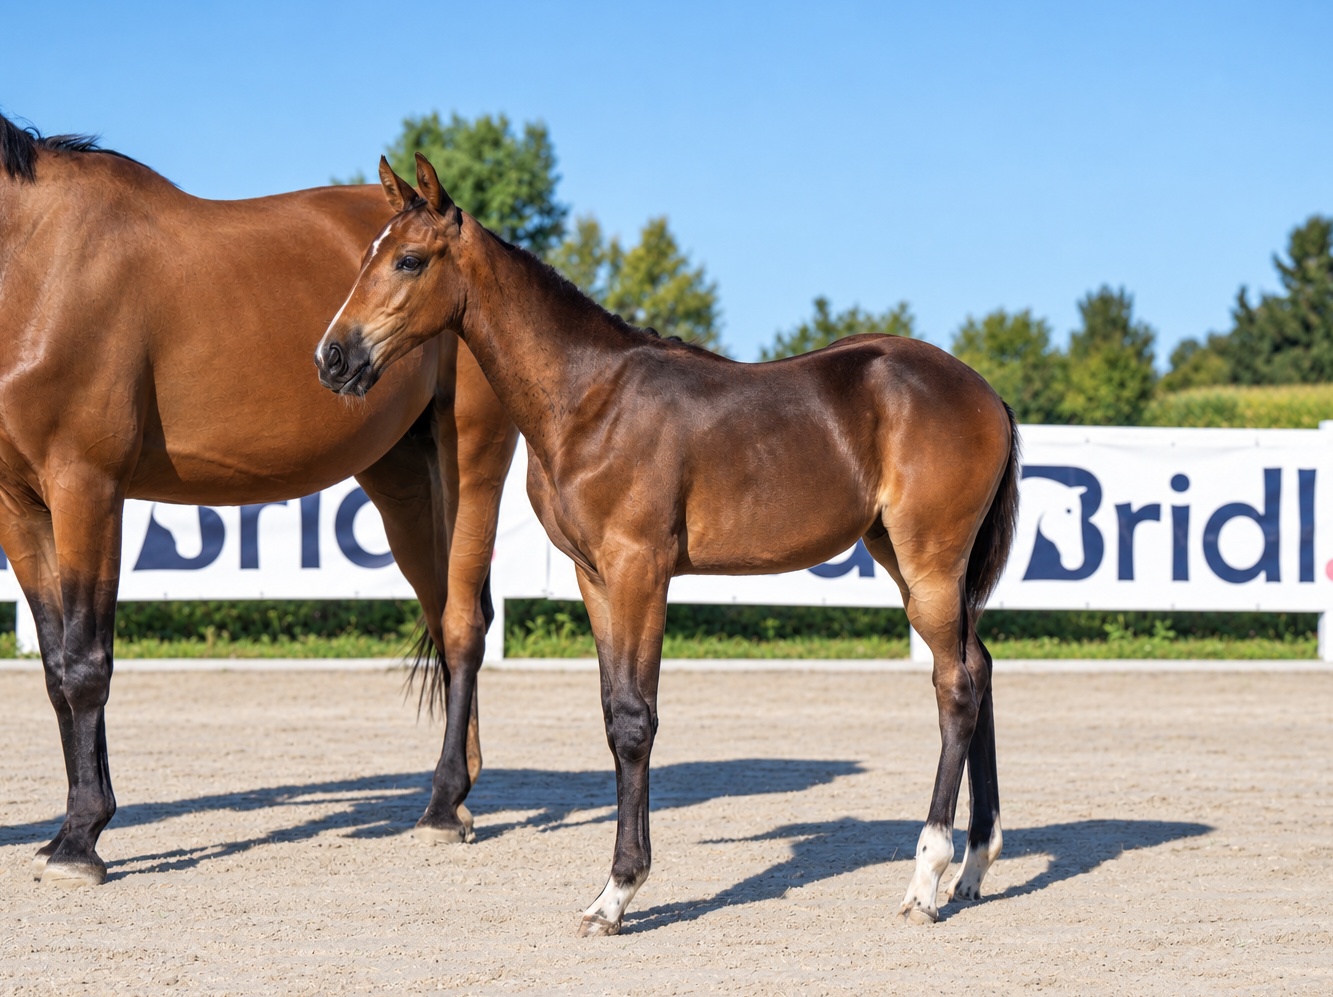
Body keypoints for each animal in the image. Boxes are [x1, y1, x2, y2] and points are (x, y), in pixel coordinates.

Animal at [0, 116, 517, 887]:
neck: (37, 259)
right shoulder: (20, 506)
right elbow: (57, 669)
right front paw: (68, 829)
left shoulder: (85, 486)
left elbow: (87, 664)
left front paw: (82, 839)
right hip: (401, 479)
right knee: (450, 613)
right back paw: (455, 798)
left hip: (475, 457)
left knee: (463, 625)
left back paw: (441, 807)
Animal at [316, 154, 1020, 935]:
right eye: (368, 254)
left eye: (409, 260)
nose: (333, 357)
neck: (590, 398)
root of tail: (985, 393)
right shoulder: (594, 576)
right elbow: (611, 711)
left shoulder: (639, 569)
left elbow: (634, 719)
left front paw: (618, 890)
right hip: (906, 558)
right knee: (979, 667)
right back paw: (975, 865)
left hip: (930, 562)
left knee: (955, 687)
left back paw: (927, 878)